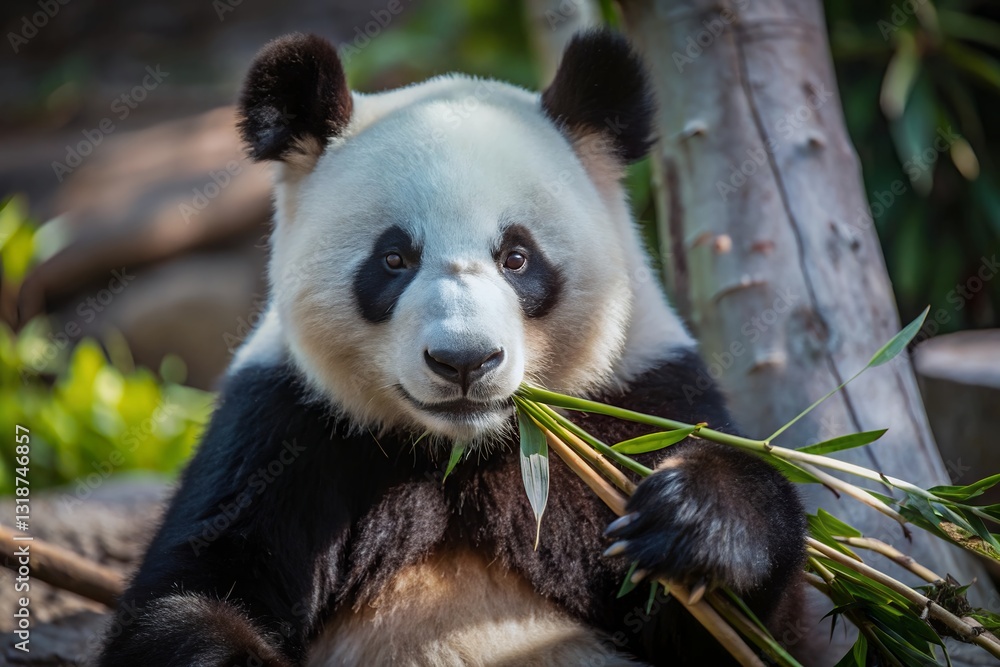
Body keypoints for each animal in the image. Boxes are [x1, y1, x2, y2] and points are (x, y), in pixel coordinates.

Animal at [98, 29, 805, 667]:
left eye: (518, 257)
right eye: (394, 259)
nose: (464, 361)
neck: (462, 452)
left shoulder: (641, 393)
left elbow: (740, 631)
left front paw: (693, 517)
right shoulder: (283, 428)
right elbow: (190, 596)